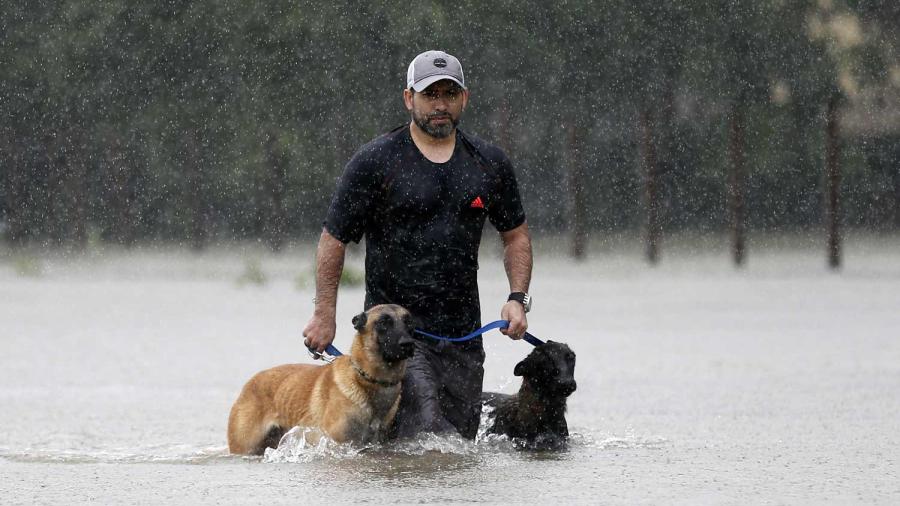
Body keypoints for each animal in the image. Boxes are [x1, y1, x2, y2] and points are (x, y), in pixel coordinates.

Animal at [229, 302, 418, 456]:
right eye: (383, 322)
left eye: (409, 323)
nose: (408, 343)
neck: (366, 379)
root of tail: (249, 383)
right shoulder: (336, 443)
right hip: (245, 447)